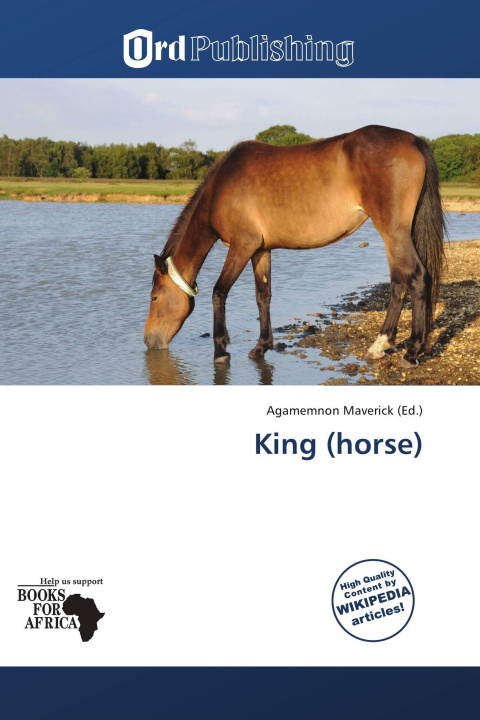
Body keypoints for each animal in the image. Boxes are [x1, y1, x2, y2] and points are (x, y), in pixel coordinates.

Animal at [144, 125, 445, 368]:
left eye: (154, 298)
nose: (149, 341)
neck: (220, 187)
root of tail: (413, 140)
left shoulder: (242, 246)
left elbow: (219, 293)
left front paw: (220, 351)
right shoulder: (260, 250)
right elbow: (262, 296)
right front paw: (261, 347)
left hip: (393, 233)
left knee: (417, 278)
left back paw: (412, 352)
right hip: (394, 237)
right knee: (398, 284)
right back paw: (380, 345)